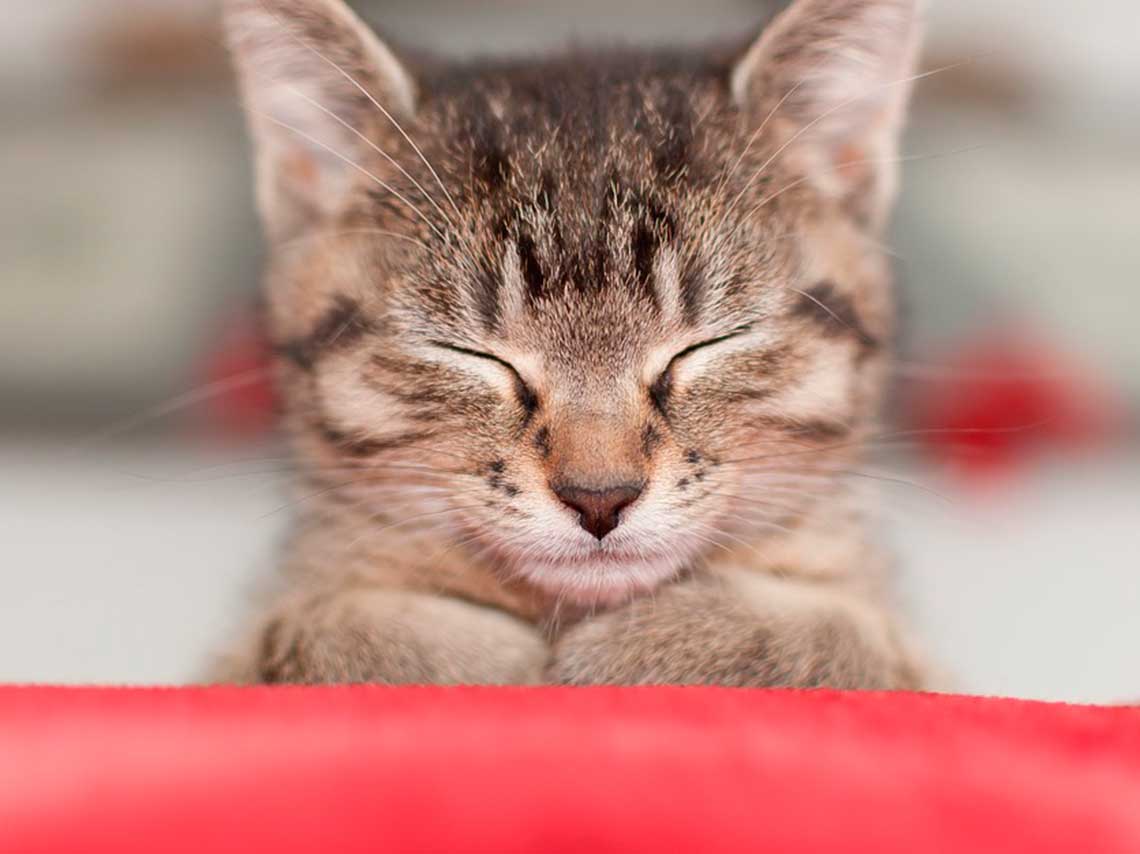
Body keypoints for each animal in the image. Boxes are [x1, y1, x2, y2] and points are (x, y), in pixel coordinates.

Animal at [217, 0, 930, 684]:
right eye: (472, 354)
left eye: (708, 344)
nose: (599, 498)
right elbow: (308, 643)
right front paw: (475, 655)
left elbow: (849, 639)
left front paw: (663, 644)